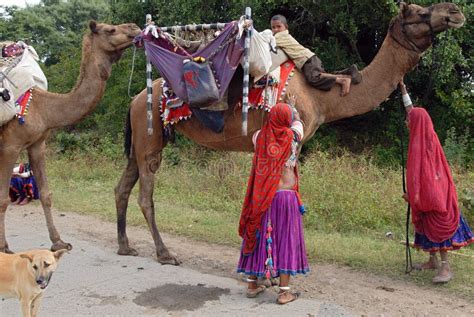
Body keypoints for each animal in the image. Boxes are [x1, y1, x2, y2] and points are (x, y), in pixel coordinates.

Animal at [0, 21, 141, 253]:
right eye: (110, 29)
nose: (135, 27)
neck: (44, 108)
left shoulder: (37, 144)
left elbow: (46, 194)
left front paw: (59, 242)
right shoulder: (10, 146)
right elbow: (3, 198)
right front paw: (4, 247)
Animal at [115, 2, 466, 264]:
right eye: (417, 12)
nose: (455, 12)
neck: (321, 98)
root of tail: (134, 99)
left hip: (142, 138)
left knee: (123, 186)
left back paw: (125, 245)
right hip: (150, 135)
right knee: (145, 193)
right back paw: (165, 253)